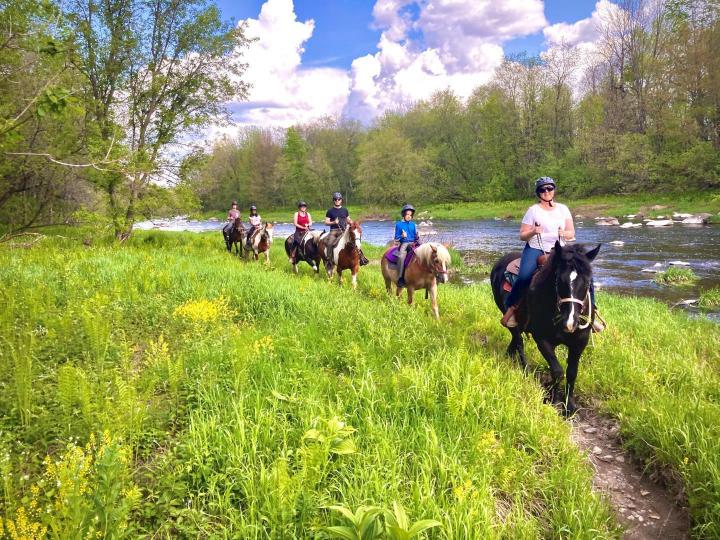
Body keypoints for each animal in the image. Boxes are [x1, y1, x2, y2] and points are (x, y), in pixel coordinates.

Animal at [490, 242, 600, 418]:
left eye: (587, 281)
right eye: (558, 280)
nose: (570, 323)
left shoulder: (579, 342)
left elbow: (572, 373)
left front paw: (569, 406)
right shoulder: (542, 340)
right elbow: (557, 371)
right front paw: (552, 398)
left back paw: (508, 355)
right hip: (506, 313)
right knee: (519, 341)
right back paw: (525, 371)